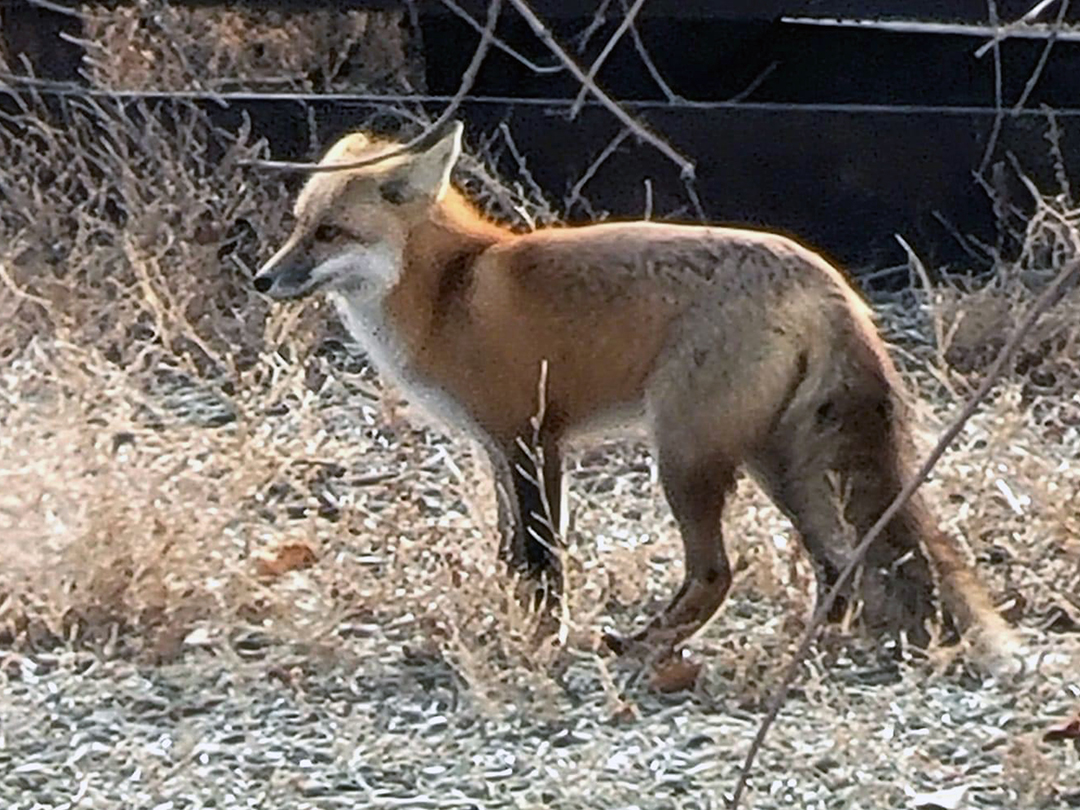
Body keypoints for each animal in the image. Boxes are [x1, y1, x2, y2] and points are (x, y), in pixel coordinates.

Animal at [252, 120, 1017, 660]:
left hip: (683, 453)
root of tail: (831, 283)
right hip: (775, 459)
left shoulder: (532, 438)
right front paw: (511, 620)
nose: (263, 279)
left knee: (718, 571)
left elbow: (541, 560)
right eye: (297, 225)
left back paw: (651, 645)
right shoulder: (496, 450)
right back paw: (816, 644)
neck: (450, 293)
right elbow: (509, 554)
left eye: (329, 233)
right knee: (838, 561)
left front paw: (543, 638)